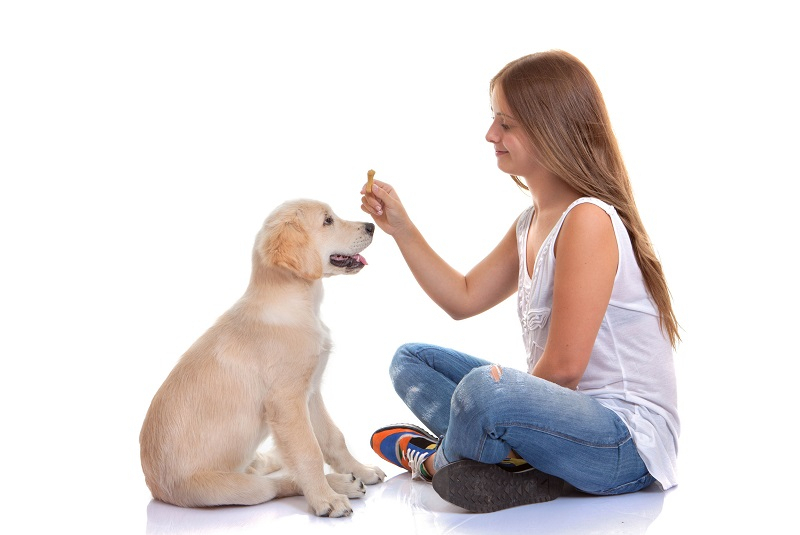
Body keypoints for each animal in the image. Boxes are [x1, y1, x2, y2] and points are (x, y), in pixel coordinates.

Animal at [141, 199, 388, 516]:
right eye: (328, 221)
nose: (371, 226)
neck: (297, 305)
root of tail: (153, 487)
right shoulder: (286, 401)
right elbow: (309, 451)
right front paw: (326, 499)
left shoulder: (311, 392)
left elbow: (333, 438)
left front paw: (361, 470)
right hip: (234, 489)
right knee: (276, 484)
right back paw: (338, 486)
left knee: (266, 465)